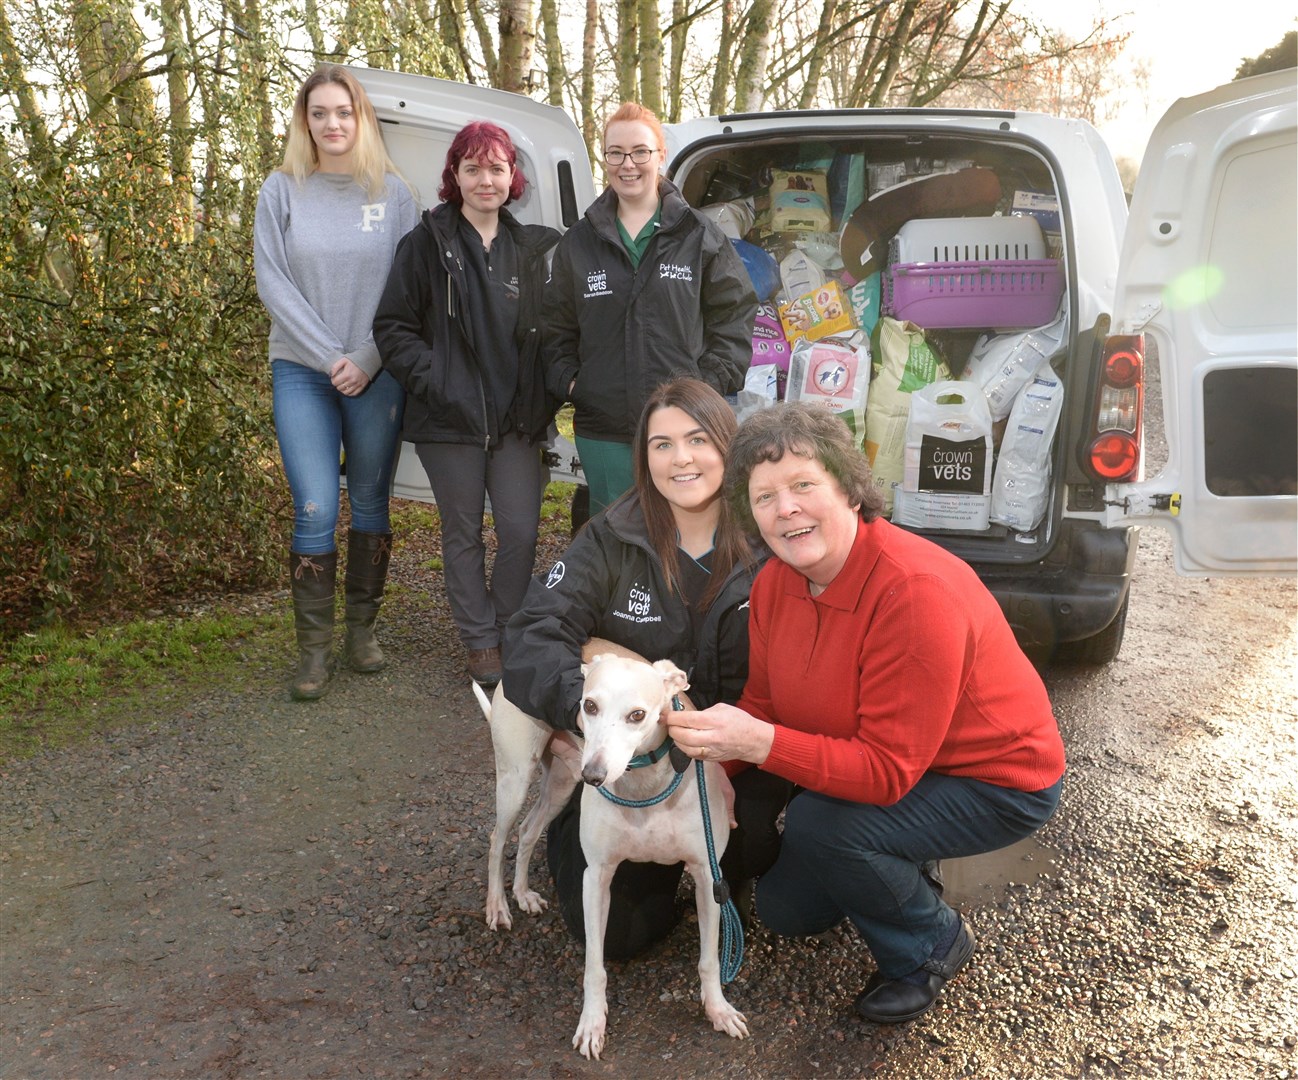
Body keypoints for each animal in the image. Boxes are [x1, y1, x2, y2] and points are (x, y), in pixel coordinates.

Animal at [472, 636, 747, 1059]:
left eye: (638, 715)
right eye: (588, 706)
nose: (595, 776)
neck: (645, 787)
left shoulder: (708, 878)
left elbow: (709, 960)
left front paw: (719, 1010)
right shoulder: (596, 878)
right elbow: (594, 967)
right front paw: (591, 1023)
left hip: (561, 781)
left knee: (529, 830)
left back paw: (522, 893)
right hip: (518, 776)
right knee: (497, 839)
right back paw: (498, 905)